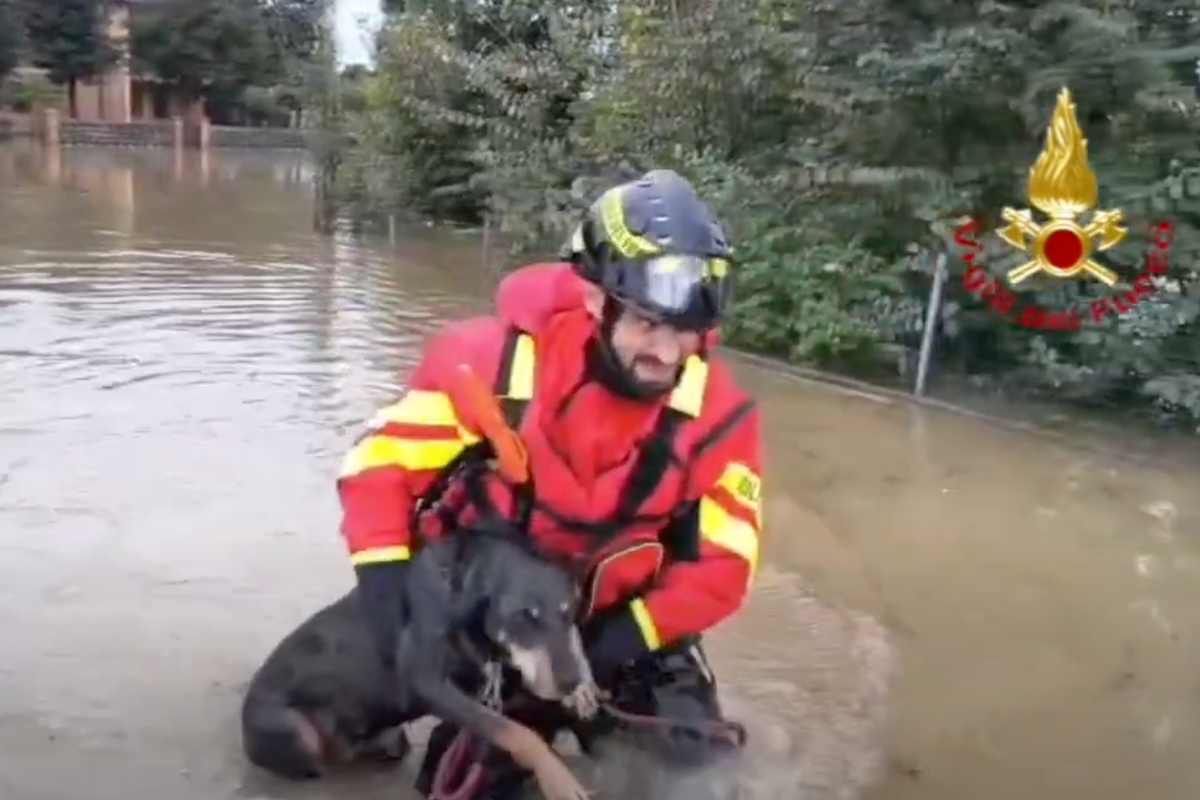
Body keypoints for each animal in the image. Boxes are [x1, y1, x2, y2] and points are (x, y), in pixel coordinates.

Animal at [241, 522, 600, 800]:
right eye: (524, 616)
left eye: (569, 611)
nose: (570, 682)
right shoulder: (428, 683)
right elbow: (517, 732)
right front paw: (558, 780)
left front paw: (583, 690)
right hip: (295, 731)